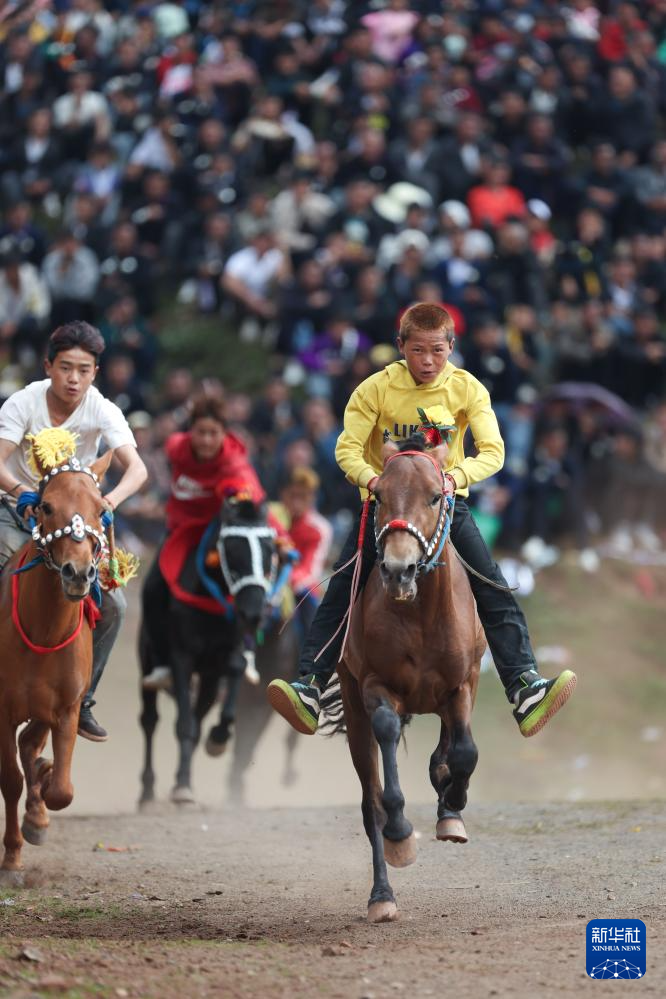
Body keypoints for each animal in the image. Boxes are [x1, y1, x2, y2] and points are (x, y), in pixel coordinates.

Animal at [0, 446, 111, 884]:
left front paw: (39, 810)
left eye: (101, 509)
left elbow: (61, 790)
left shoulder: (64, 709)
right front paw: (12, 858)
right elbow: (10, 781)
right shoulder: (2, 711)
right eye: (46, 506)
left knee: (31, 745)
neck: (43, 631)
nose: (78, 573)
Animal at [139, 496, 286, 808]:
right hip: (146, 659)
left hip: (208, 679)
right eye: (231, 548)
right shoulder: (182, 658)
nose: (254, 613)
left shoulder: (227, 653)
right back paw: (147, 792)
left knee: (199, 714)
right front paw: (182, 787)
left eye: (270, 550)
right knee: (149, 720)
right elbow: (183, 723)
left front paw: (217, 738)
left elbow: (234, 675)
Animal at [338, 438, 482, 920]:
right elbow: (386, 745)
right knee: (370, 803)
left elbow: (465, 752)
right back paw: (382, 896)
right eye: (379, 495)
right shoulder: (374, 686)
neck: (418, 613)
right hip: (353, 711)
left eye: (436, 497)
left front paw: (452, 806)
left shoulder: (462, 684)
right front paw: (401, 832)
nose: (398, 570)